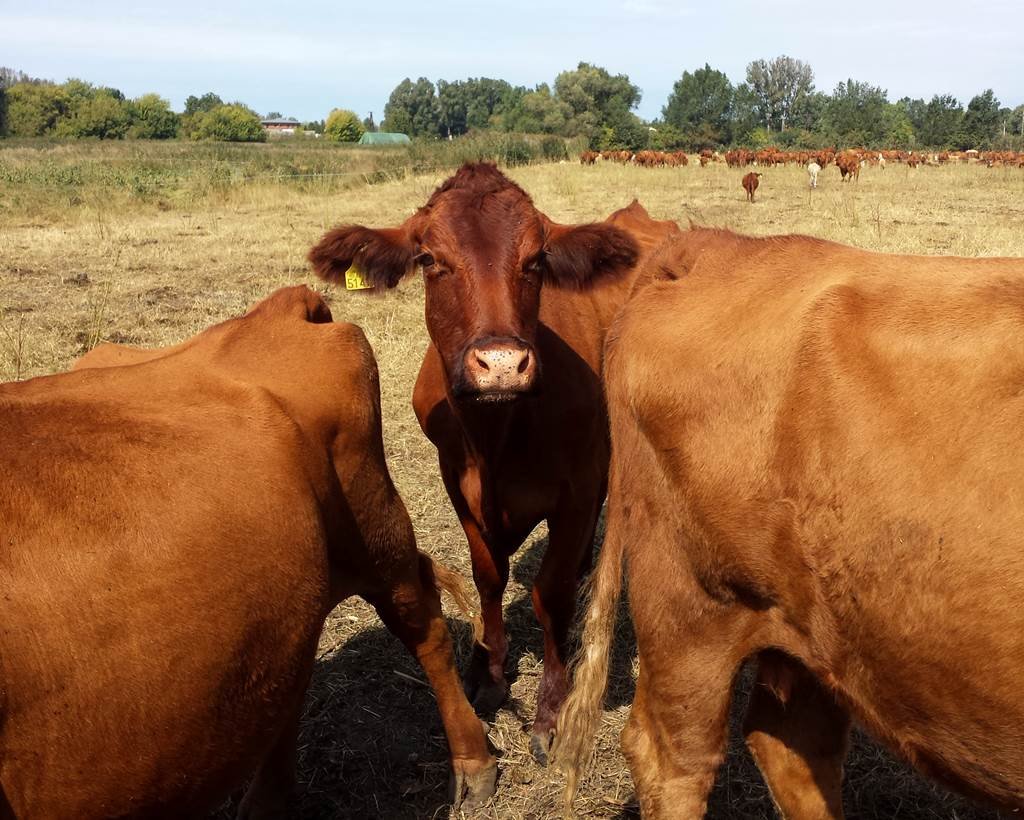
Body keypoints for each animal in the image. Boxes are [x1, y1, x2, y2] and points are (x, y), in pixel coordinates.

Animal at [309, 164, 679, 761]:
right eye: (429, 258)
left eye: (537, 260)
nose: (501, 364)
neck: (497, 437)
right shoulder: (457, 480)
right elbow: (488, 577)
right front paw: (488, 675)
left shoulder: (578, 488)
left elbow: (549, 593)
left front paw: (549, 709)